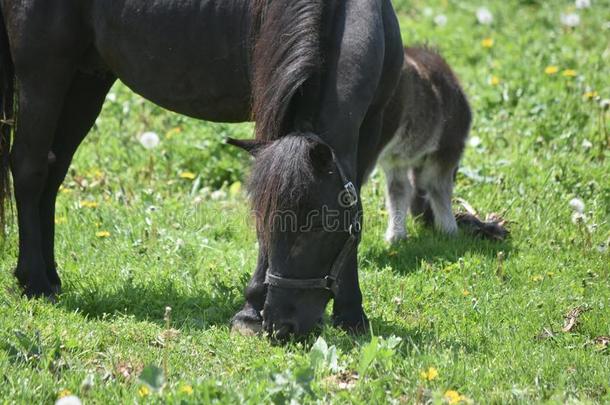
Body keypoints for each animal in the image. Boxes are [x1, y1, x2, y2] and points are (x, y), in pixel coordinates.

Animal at [0, 0, 404, 338]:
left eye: (318, 226)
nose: (280, 326)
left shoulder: (370, 130)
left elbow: (356, 210)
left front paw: (351, 314)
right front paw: (249, 312)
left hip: (86, 80)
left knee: (54, 172)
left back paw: (51, 276)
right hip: (44, 75)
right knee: (30, 168)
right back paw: (34, 281)